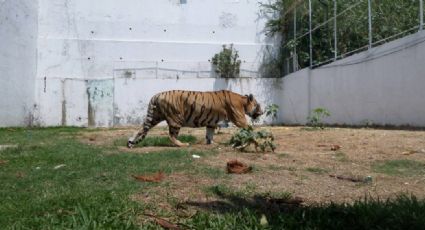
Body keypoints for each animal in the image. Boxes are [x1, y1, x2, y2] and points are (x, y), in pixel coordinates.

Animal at [126, 90, 262, 147]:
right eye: (257, 105)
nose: (261, 112)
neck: (243, 102)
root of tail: (156, 95)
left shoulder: (211, 122)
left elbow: (209, 133)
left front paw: (211, 143)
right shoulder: (239, 119)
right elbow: (249, 128)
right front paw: (256, 138)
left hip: (154, 117)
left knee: (141, 129)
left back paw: (131, 142)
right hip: (176, 118)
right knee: (171, 135)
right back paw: (183, 144)